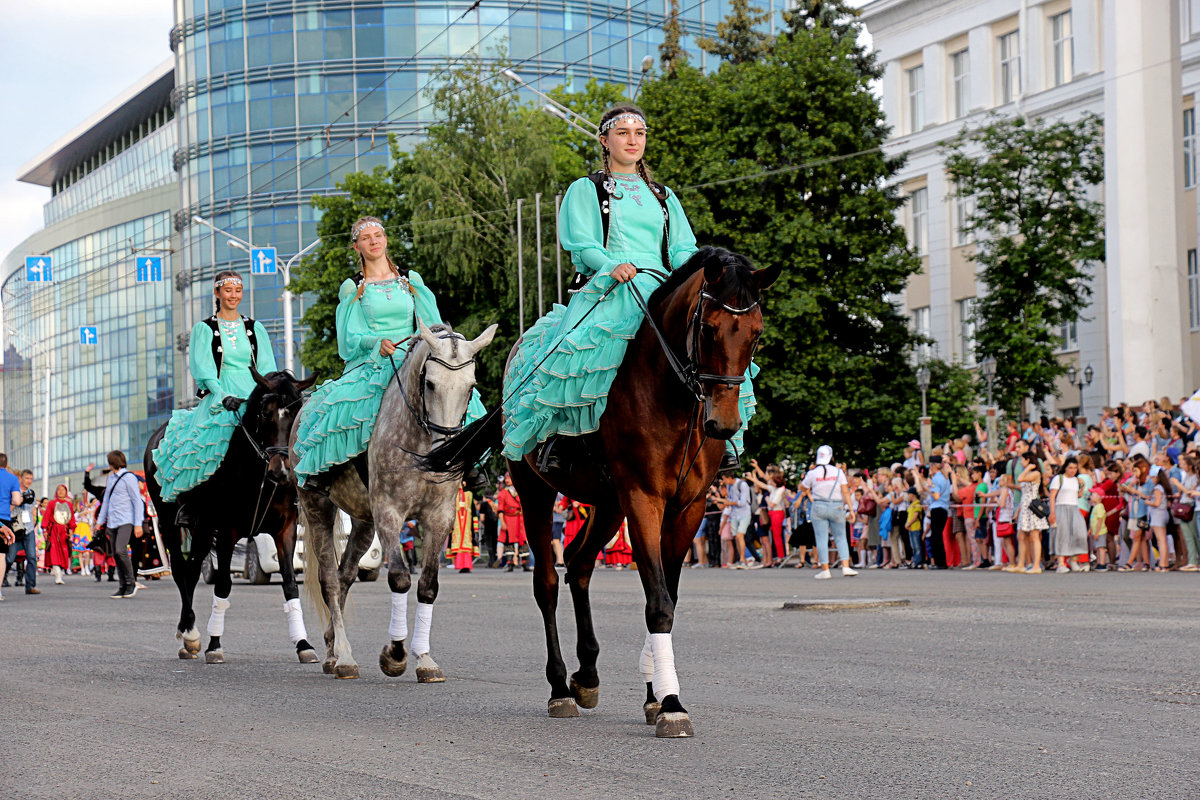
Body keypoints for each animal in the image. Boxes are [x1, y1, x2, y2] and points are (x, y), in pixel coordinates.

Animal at [295, 321, 496, 681]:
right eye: (429, 384)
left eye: (471, 387)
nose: (449, 453)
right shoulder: (389, 513)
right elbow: (400, 577)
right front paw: (396, 654)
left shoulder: (439, 517)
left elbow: (428, 585)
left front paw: (425, 660)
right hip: (318, 509)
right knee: (330, 579)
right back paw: (344, 657)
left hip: (363, 521)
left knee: (345, 576)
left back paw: (333, 650)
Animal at [422, 248, 777, 738]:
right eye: (708, 327)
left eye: (756, 334)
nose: (722, 424)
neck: (670, 396)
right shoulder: (643, 499)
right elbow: (658, 602)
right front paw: (670, 703)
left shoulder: (687, 509)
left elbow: (666, 593)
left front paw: (654, 693)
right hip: (536, 493)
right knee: (548, 581)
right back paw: (560, 688)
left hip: (608, 505)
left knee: (579, 564)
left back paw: (586, 674)